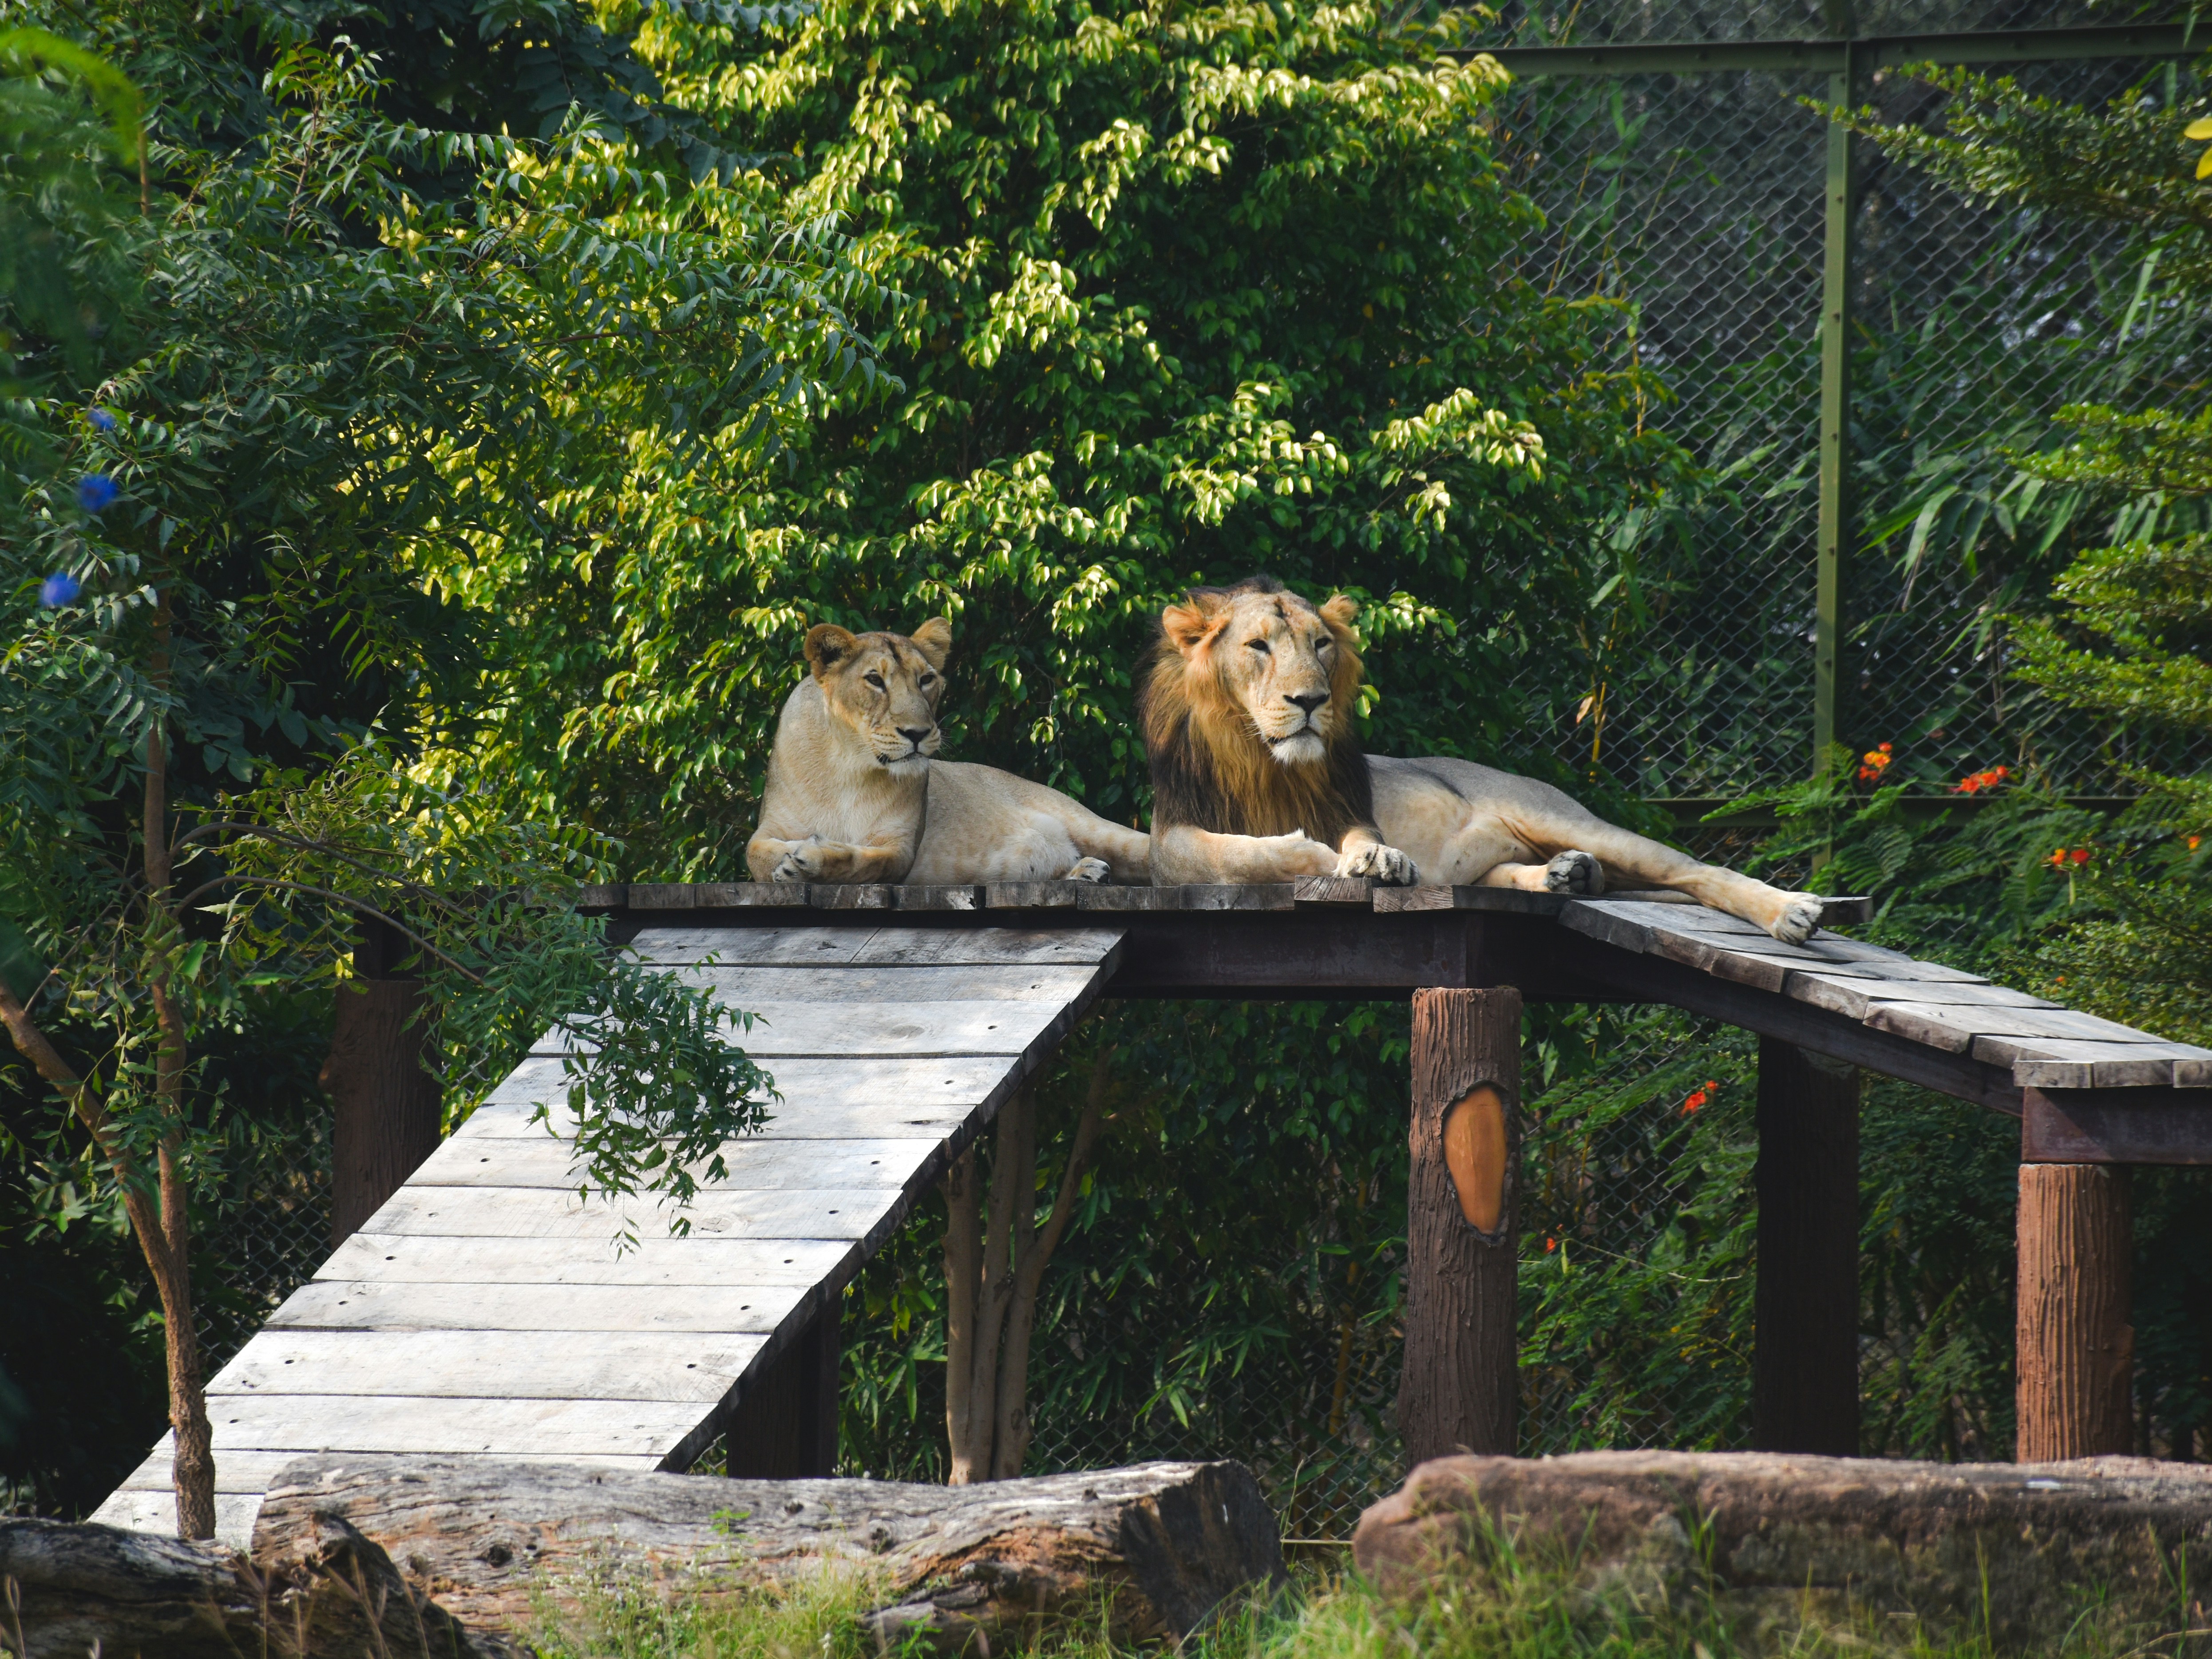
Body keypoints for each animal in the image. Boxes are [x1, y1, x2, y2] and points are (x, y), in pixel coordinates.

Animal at [746, 617, 1150, 886]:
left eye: (926, 679)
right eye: (874, 680)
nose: (917, 733)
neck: (850, 765)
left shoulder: (899, 849)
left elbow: (862, 862)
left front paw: (810, 859)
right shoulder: (767, 831)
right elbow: (757, 856)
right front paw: (797, 854)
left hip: (1091, 826)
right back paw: (1086, 872)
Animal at [1137, 576, 1827, 943]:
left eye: (1322, 644)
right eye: (1258, 646)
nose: (1310, 701)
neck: (1260, 757)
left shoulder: (1350, 807)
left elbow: (1354, 837)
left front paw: (1367, 858)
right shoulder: (1170, 843)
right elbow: (1229, 853)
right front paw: (1315, 855)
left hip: (1559, 814)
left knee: (1692, 869)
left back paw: (1791, 912)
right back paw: (1566, 875)